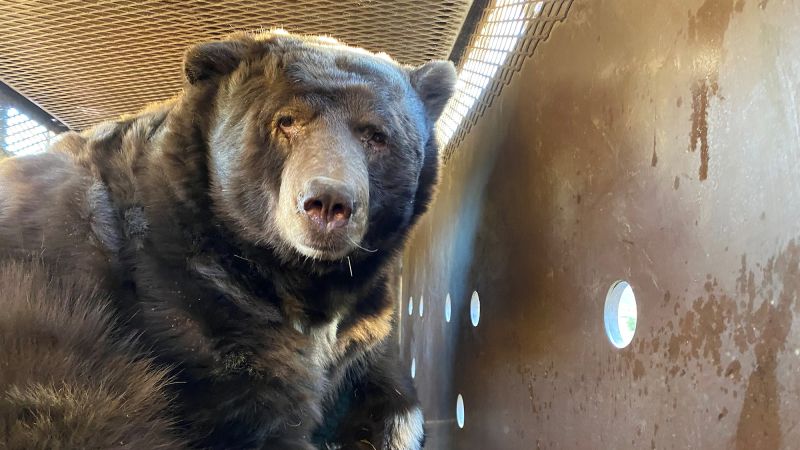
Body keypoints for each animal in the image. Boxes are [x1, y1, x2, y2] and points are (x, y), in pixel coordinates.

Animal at [0, 29, 454, 448]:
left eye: (376, 135)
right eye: (286, 120)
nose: (328, 202)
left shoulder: (364, 322)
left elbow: (388, 383)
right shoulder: (191, 300)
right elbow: (254, 411)